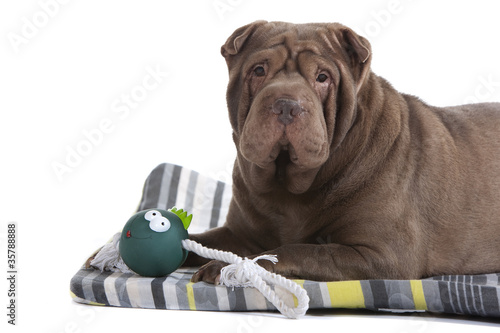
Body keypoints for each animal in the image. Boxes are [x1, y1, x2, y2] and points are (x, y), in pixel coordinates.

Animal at [186, 20, 500, 282]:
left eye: (323, 77)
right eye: (259, 70)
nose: (286, 104)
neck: (287, 186)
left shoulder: (383, 254)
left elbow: (299, 249)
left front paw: (226, 266)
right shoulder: (238, 233)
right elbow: (198, 240)